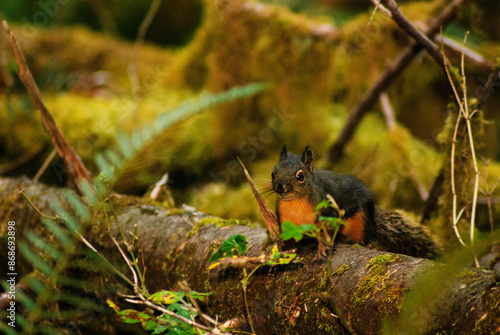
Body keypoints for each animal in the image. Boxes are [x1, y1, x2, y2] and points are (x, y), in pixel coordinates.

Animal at [272, 145, 440, 260]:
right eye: (273, 173)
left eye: (300, 176)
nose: (280, 187)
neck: (295, 202)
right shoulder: (285, 220)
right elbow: (286, 237)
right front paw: (281, 249)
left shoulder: (327, 213)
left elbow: (326, 234)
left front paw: (322, 249)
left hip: (361, 220)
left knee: (362, 236)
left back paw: (366, 244)